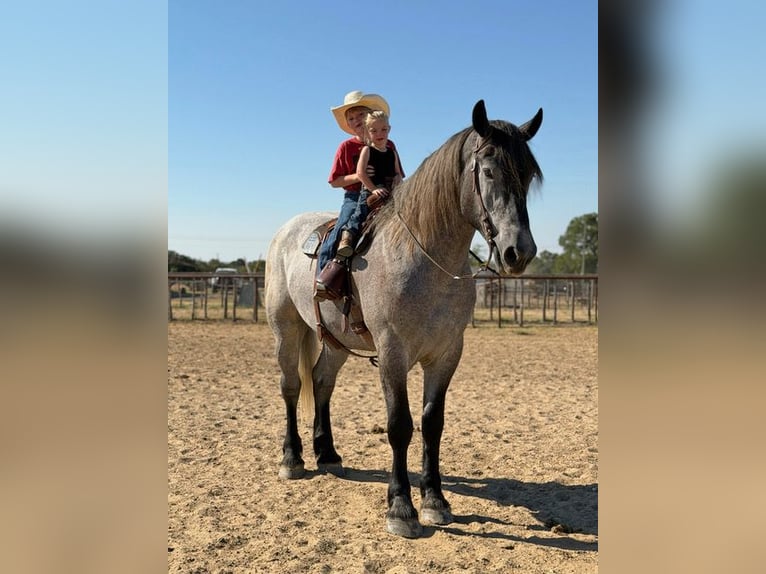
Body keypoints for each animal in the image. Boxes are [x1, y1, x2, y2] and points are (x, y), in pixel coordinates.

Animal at [265, 100, 543, 538]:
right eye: (488, 170)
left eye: (528, 174)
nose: (520, 251)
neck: (423, 259)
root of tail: (288, 230)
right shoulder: (393, 353)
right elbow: (400, 425)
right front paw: (401, 507)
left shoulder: (446, 354)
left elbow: (432, 424)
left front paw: (435, 500)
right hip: (285, 328)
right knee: (292, 386)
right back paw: (292, 458)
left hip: (337, 342)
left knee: (322, 381)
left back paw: (328, 454)